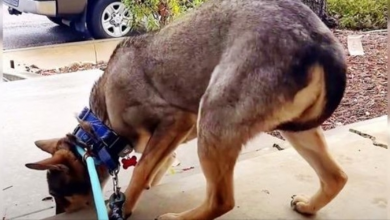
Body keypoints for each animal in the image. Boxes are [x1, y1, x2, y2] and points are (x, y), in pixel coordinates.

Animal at [24, 0, 348, 219]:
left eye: (57, 193)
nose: (58, 213)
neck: (101, 130)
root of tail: (318, 40)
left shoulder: (177, 120)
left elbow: (141, 169)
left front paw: (125, 205)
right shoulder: (172, 136)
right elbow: (157, 163)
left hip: (213, 120)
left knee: (221, 201)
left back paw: (180, 218)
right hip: (297, 130)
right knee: (337, 177)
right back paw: (309, 205)